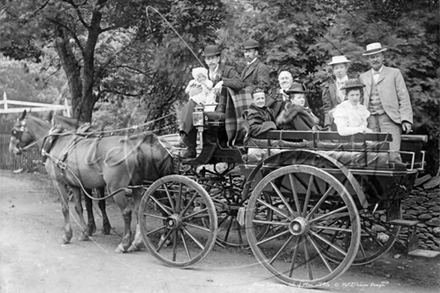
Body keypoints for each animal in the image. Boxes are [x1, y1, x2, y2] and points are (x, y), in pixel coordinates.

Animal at [8, 110, 174, 252]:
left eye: (14, 131)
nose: (12, 149)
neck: (56, 141)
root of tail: (134, 145)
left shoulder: (60, 183)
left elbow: (66, 208)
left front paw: (67, 235)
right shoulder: (75, 184)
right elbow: (79, 208)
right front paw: (84, 232)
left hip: (117, 188)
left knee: (130, 211)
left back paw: (128, 243)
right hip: (137, 186)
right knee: (141, 210)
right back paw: (138, 242)